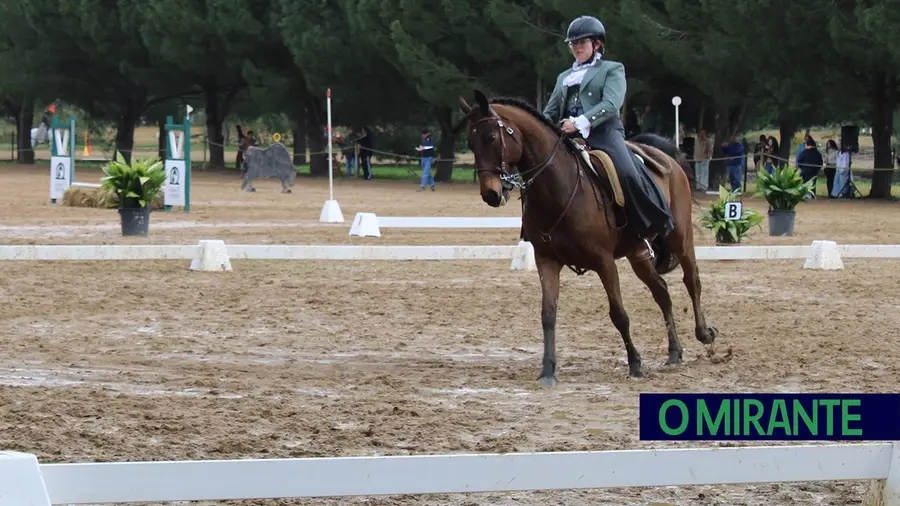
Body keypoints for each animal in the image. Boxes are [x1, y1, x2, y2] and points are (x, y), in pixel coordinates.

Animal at [457, 90, 717, 386]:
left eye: (491, 137)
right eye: (470, 142)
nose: (491, 194)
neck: (557, 188)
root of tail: (667, 157)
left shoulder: (604, 262)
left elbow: (619, 315)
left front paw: (635, 364)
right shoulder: (547, 261)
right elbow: (548, 314)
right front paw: (548, 370)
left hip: (680, 238)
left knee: (692, 281)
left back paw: (704, 334)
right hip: (637, 254)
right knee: (661, 292)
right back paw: (674, 352)